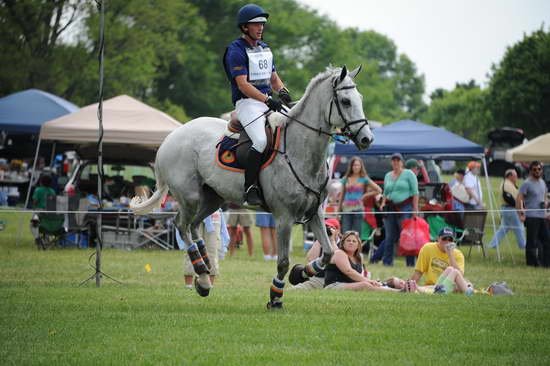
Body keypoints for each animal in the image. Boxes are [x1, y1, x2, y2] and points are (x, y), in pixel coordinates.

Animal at [132, 65, 376, 306]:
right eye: (346, 101)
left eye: (360, 99)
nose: (367, 139)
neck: (300, 151)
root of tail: (170, 137)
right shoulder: (284, 217)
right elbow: (283, 262)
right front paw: (275, 297)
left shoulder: (315, 212)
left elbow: (328, 253)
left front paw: (300, 274)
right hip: (190, 196)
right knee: (181, 225)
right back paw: (201, 274)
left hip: (213, 198)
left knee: (193, 226)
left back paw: (204, 272)